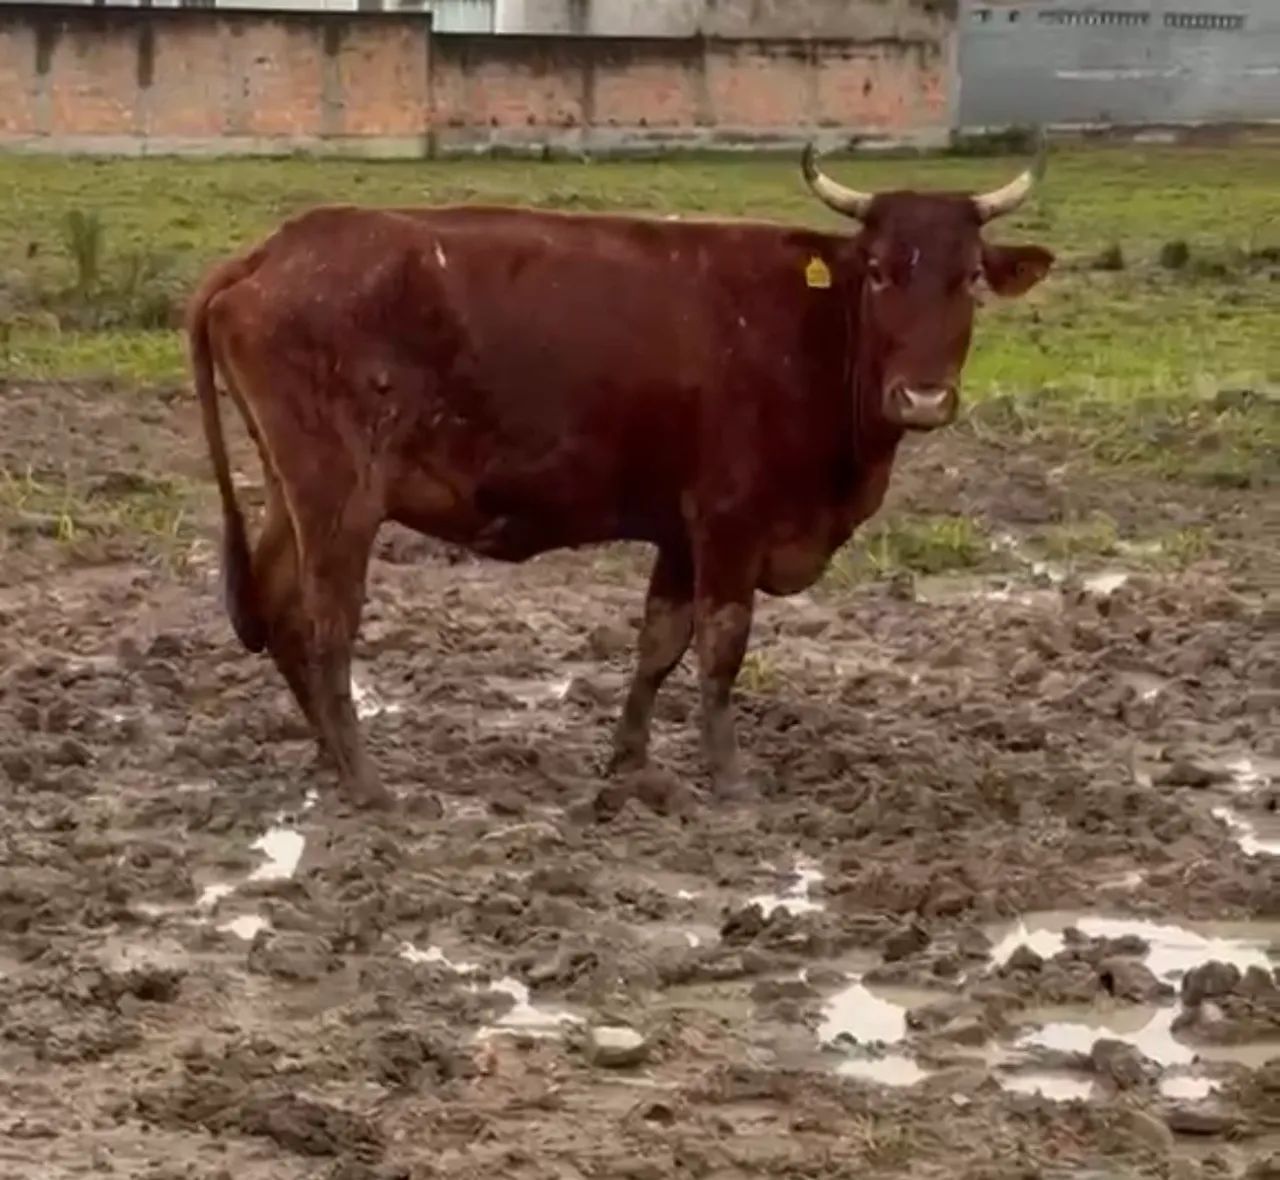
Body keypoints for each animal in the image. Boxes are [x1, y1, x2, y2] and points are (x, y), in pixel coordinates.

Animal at [185, 139, 1055, 810]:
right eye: (877, 271)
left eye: (970, 277)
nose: (923, 397)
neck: (811, 331)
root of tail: (275, 250)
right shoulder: (730, 522)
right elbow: (722, 646)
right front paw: (729, 781)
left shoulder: (679, 530)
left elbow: (658, 645)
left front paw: (630, 764)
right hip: (339, 500)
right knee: (326, 624)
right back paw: (368, 783)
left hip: (293, 493)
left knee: (279, 608)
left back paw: (329, 760)